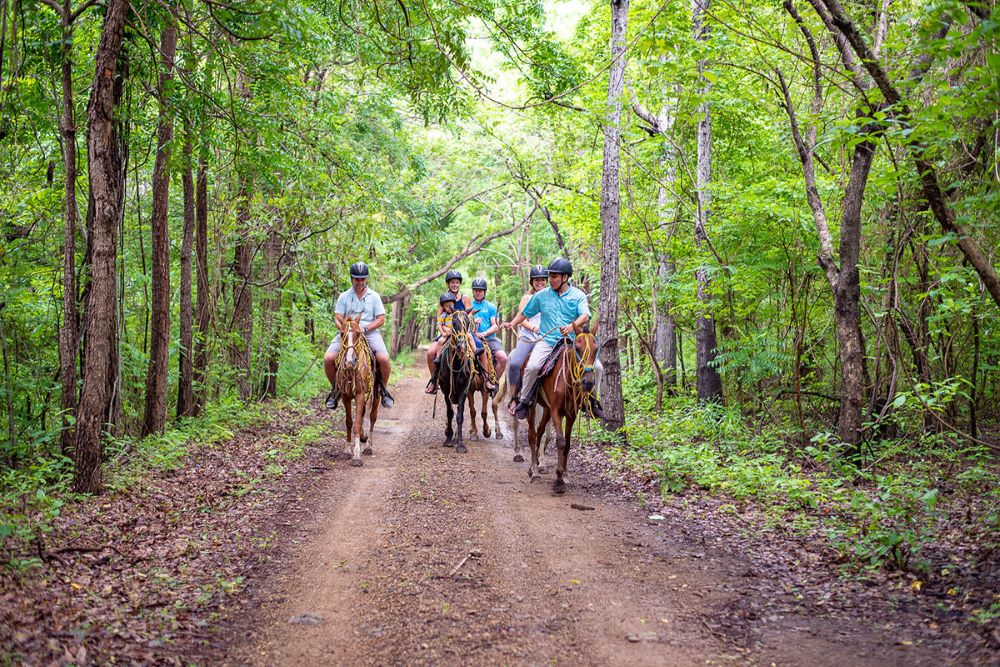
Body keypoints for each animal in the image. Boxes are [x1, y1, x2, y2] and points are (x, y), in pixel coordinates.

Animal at [338, 314, 380, 468]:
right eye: (341, 333)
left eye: (358, 333)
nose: (350, 362)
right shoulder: (345, 396)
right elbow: (350, 422)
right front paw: (346, 450)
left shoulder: (361, 394)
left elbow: (356, 424)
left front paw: (356, 456)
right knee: (362, 415)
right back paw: (363, 437)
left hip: (376, 393)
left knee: (373, 416)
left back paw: (368, 446)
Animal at [436, 312, 474, 454]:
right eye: (453, 322)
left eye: (468, 323)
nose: (462, 347)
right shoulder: (446, 389)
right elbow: (450, 413)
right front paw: (448, 438)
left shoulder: (464, 389)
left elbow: (460, 415)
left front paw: (460, 443)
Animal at [528, 328, 596, 496]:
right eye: (577, 348)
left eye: (596, 348)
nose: (588, 382)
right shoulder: (556, 411)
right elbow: (560, 441)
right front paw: (558, 480)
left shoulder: (571, 414)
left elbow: (568, 443)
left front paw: (565, 475)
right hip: (533, 406)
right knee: (532, 434)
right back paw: (534, 471)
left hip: (546, 409)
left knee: (540, 431)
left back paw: (536, 464)